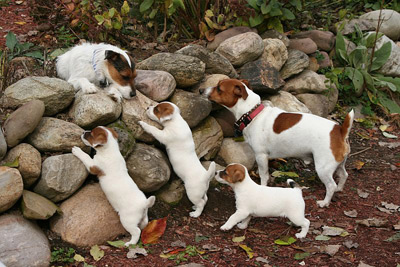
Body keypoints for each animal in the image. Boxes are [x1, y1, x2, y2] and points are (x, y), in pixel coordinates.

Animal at [202, 78, 354, 208]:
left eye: (219, 88)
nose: (201, 90)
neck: (253, 114)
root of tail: (340, 130)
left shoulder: (261, 155)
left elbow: (264, 176)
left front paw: (263, 187)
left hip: (323, 167)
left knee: (330, 185)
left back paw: (325, 202)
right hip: (338, 164)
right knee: (344, 175)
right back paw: (339, 189)